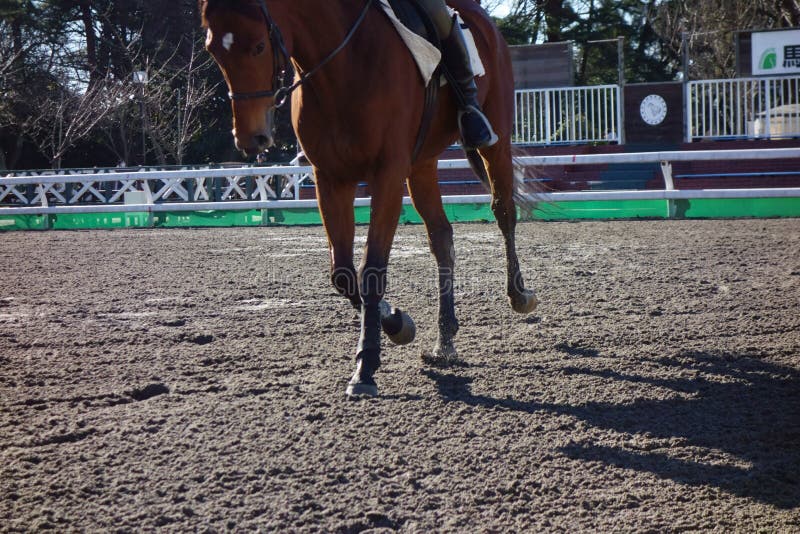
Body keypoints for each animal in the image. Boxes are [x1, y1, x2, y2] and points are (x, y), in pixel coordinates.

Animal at [200, 0, 538, 396]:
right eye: (213, 51)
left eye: (257, 47)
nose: (250, 138)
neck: (342, 67)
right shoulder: (331, 179)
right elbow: (343, 274)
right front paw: (397, 323)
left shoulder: (387, 175)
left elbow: (372, 270)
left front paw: (366, 367)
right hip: (421, 164)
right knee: (442, 237)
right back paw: (445, 340)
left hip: (495, 141)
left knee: (504, 212)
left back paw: (520, 296)